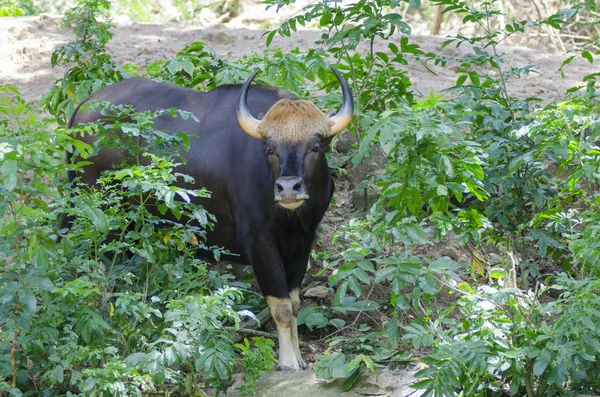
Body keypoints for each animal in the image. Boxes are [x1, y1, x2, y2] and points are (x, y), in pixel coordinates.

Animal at [68, 67, 354, 368]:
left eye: (315, 147)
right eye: (270, 149)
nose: (288, 188)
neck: (289, 220)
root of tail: (85, 105)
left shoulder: (303, 243)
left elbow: (296, 304)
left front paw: (298, 358)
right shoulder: (259, 243)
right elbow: (282, 307)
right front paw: (287, 362)